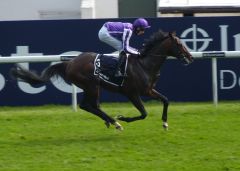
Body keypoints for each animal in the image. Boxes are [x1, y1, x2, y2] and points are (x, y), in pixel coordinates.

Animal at [10, 29, 193, 131]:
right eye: (179, 43)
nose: (190, 57)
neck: (144, 64)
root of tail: (70, 62)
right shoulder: (132, 93)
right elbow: (143, 113)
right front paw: (122, 118)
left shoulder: (148, 90)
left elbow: (166, 100)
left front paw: (165, 123)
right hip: (91, 85)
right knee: (88, 105)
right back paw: (115, 122)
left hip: (91, 86)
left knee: (90, 106)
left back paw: (110, 122)